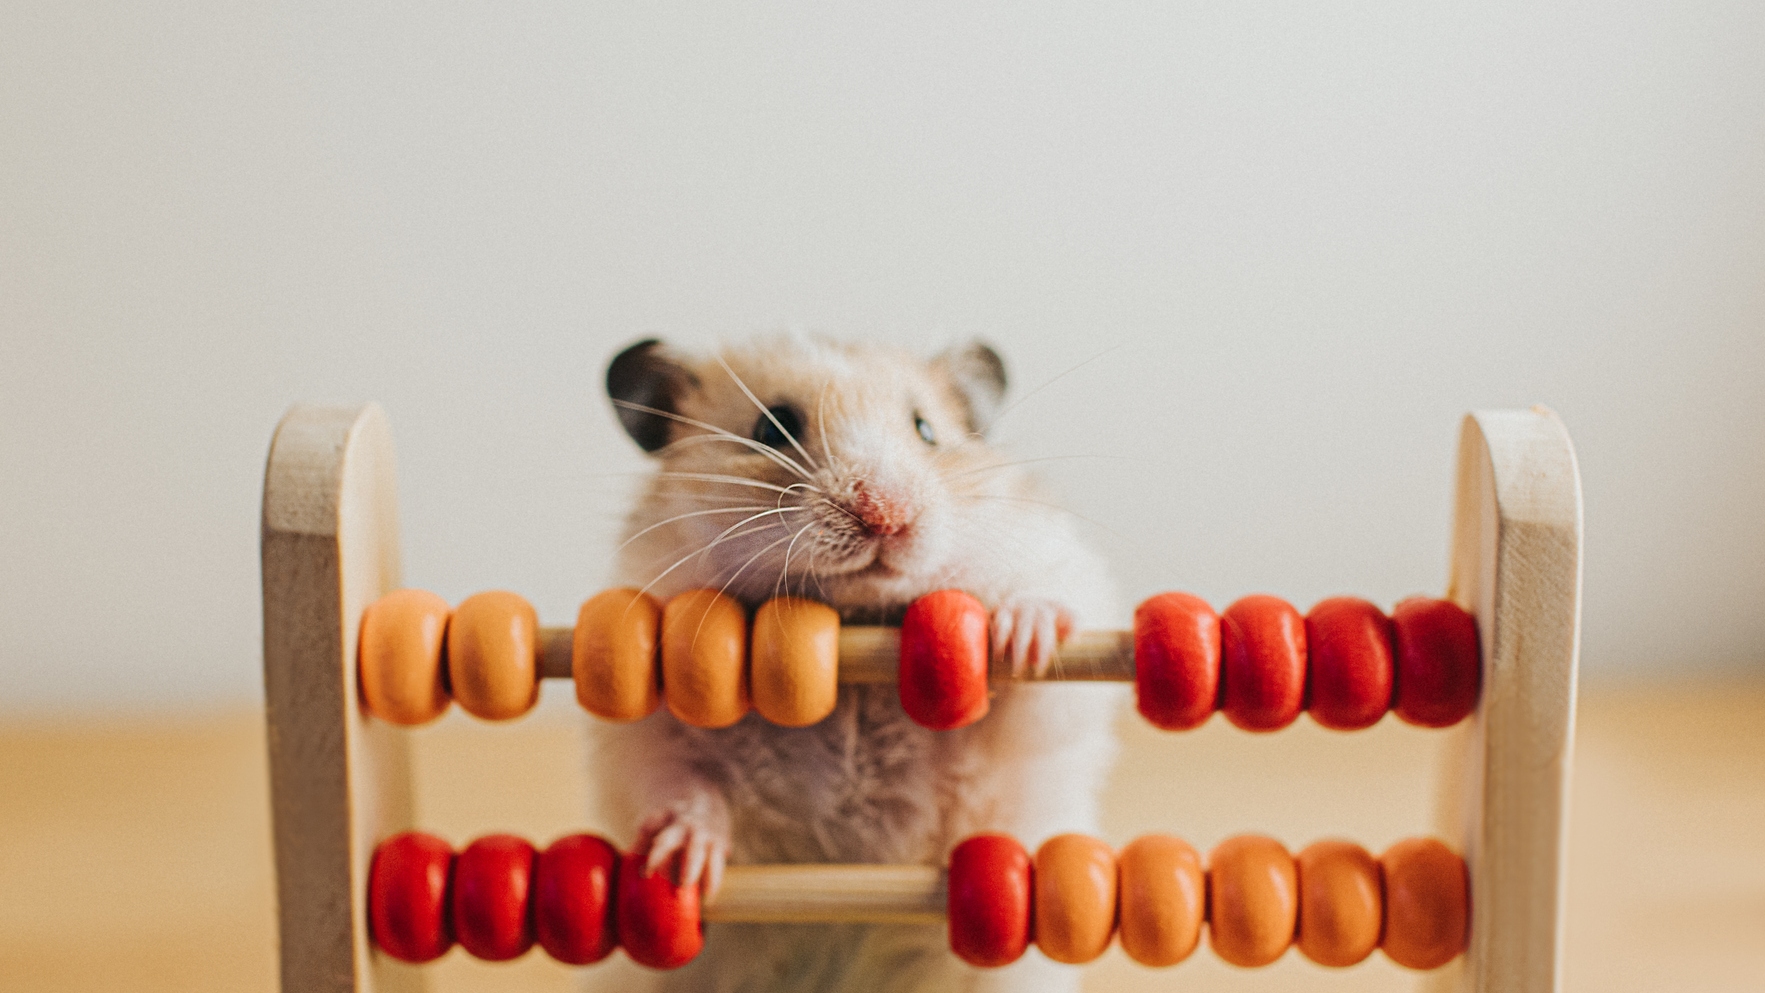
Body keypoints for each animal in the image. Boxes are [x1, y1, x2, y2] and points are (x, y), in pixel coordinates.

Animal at [593, 336, 1115, 993]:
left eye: (926, 430)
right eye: (772, 427)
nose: (886, 514)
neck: (854, 623)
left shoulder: (1055, 691)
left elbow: (1045, 679)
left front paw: (1024, 631)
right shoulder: (637, 715)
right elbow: (673, 775)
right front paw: (678, 859)